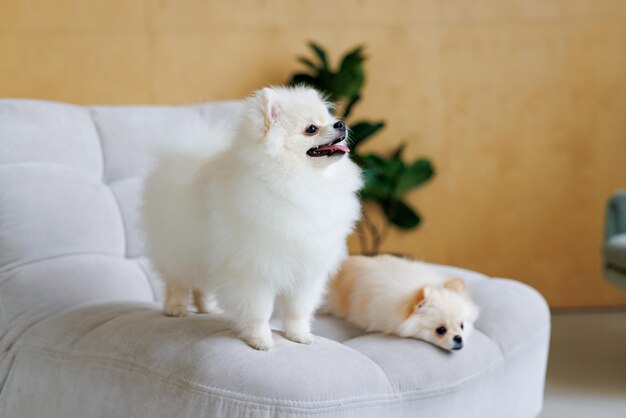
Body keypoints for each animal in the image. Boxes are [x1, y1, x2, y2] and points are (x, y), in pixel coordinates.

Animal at [141, 86, 360, 352]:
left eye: (329, 119)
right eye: (311, 128)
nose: (341, 123)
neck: (297, 179)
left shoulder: (305, 271)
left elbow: (297, 310)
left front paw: (299, 335)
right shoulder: (253, 270)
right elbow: (258, 311)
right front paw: (260, 340)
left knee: (202, 284)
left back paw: (207, 308)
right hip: (180, 248)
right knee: (178, 281)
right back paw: (175, 308)